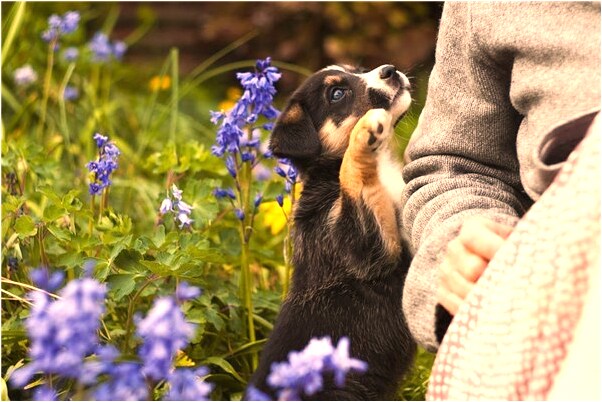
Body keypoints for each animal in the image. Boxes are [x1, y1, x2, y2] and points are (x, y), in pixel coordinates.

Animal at [246, 65, 414, 398]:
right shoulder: (366, 248)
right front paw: (364, 133)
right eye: (337, 94)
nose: (389, 70)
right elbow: (353, 176)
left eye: (358, 70)